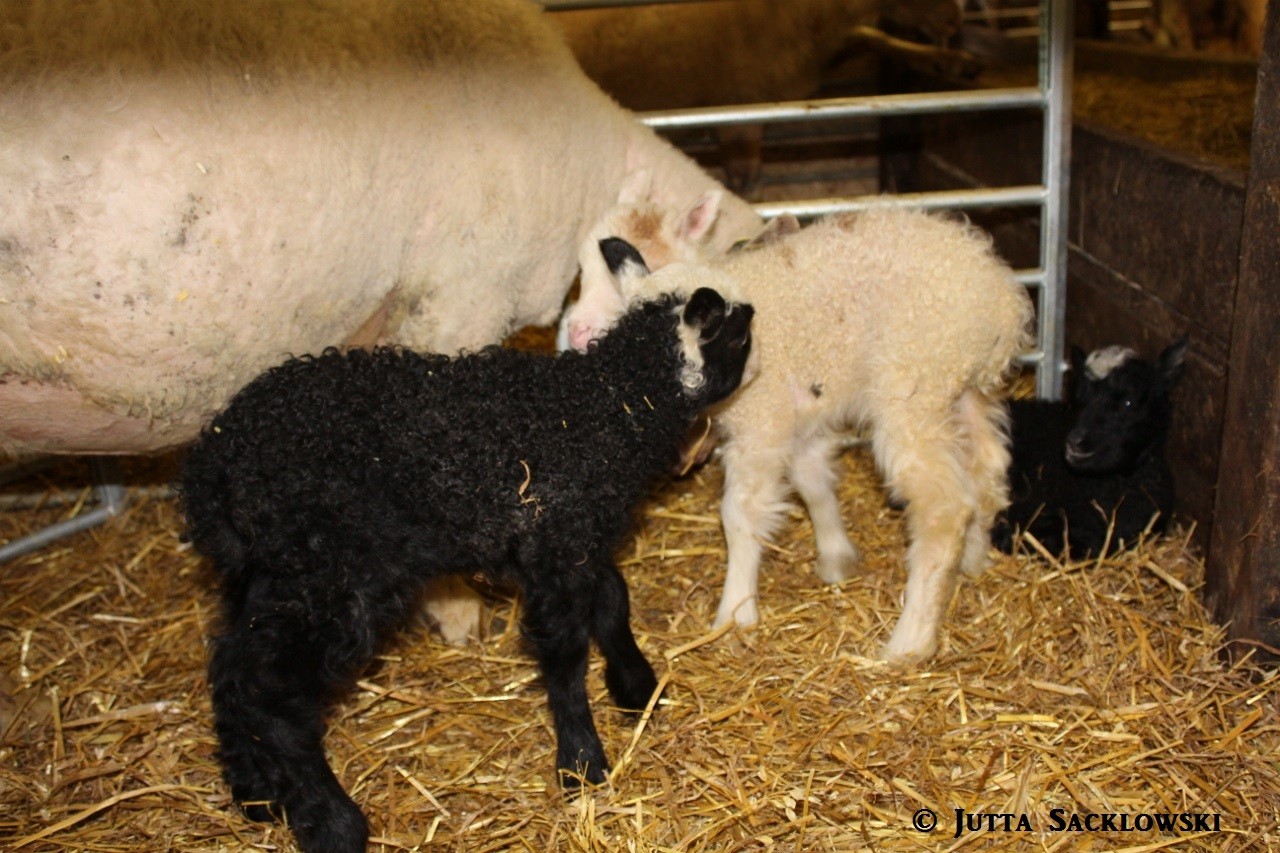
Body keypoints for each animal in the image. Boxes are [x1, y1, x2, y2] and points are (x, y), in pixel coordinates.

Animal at [181, 236, 757, 850]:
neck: (610, 406)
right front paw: (581, 762)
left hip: (267, 571)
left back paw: (253, 791)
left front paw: (635, 686)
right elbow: (566, 653)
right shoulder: (556, 543)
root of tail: (212, 464)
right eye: (739, 334)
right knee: (269, 693)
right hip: (327, 573)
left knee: (229, 666)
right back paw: (331, 821)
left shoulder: (568, 534)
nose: (760, 357)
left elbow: (612, 598)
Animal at [565, 192, 1034, 655]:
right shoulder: (800, 418)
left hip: (913, 384)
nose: (576, 333)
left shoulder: (761, 418)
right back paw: (973, 559)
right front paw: (837, 556)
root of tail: (1001, 298)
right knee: (987, 468)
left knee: (945, 507)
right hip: (964, 390)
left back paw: (909, 642)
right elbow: (814, 483)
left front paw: (736, 614)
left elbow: (740, 516)